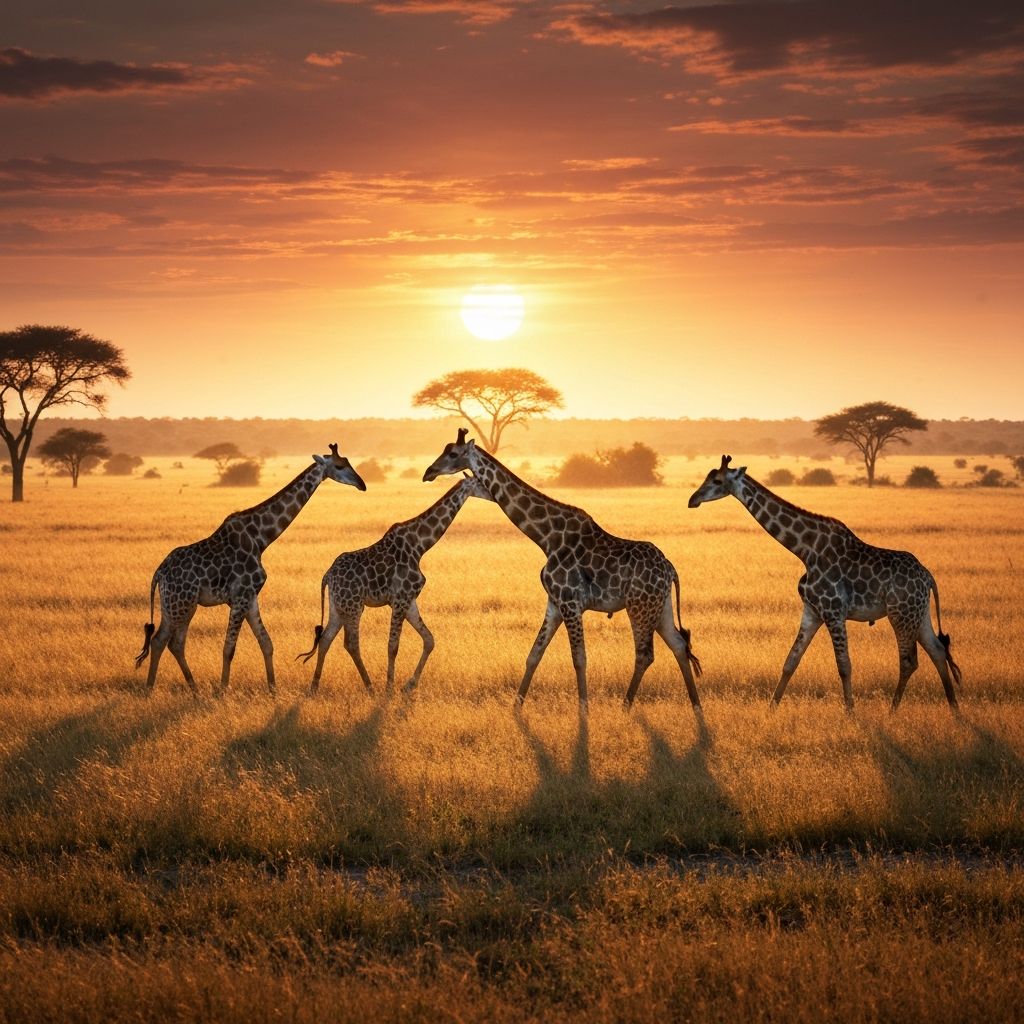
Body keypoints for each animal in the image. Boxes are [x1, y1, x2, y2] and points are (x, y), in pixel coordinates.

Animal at [134, 444, 366, 696]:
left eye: (347, 461)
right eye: (339, 466)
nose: (362, 484)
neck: (261, 538)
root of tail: (159, 572)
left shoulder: (251, 596)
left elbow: (266, 642)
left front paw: (273, 690)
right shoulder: (240, 596)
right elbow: (229, 648)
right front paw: (222, 691)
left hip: (177, 604)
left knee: (172, 642)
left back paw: (191, 689)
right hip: (181, 603)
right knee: (161, 641)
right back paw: (151, 689)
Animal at [298, 473, 494, 696]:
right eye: (482, 483)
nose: (495, 495)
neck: (420, 546)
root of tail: (328, 575)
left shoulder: (408, 600)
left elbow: (429, 640)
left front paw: (409, 685)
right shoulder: (400, 598)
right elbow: (393, 646)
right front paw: (390, 688)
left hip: (338, 606)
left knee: (325, 639)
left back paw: (314, 687)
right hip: (354, 606)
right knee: (351, 644)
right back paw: (370, 687)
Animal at [421, 429, 702, 714]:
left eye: (453, 453)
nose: (428, 472)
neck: (547, 537)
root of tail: (670, 568)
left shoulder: (570, 602)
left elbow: (579, 658)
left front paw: (583, 711)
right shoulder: (554, 603)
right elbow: (534, 654)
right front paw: (516, 707)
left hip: (639, 606)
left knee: (645, 654)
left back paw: (625, 707)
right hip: (660, 606)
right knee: (679, 645)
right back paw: (696, 706)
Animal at [687, 455, 961, 710]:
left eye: (717, 481)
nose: (692, 500)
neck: (805, 550)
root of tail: (928, 576)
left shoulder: (834, 611)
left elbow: (844, 665)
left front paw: (850, 713)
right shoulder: (812, 611)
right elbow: (790, 662)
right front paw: (770, 711)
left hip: (901, 614)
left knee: (908, 661)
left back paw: (892, 712)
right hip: (918, 614)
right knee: (938, 651)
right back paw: (955, 710)